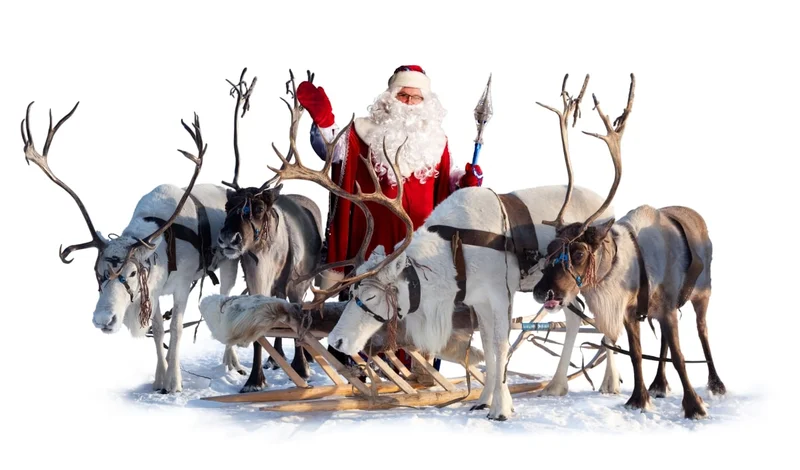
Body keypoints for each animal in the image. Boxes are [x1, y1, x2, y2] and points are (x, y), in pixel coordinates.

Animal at [21, 102, 245, 393]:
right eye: (99, 274)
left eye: (131, 273)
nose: (103, 320)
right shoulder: (155, 289)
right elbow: (158, 329)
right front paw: (159, 380)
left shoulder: (182, 284)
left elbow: (177, 329)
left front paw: (175, 382)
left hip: (230, 263)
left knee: (227, 300)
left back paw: (231, 362)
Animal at [215, 69, 325, 392]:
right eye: (228, 205)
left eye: (260, 209)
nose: (228, 238)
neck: (265, 260)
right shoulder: (256, 283)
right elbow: (260, 334)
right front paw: (254, 379)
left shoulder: (297, 284)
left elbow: (299, 323)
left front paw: (301, 369)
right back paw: (276, 360)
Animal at [263, 73, 621, 421]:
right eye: (351, 293)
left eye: (372, 296)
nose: (337, 339)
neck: (452, 256)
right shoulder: (478, 300)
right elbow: (488, 347)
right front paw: (483, 400)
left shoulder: (500, 295)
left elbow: (500, 347)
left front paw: (502, 408)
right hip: (564, 288)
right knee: (575, 318)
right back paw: (559, 385)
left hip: (596, 279)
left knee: (606, 319)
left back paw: (609, 383)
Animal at [532, 73, 726, 419]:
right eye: (550, 249)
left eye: (578, 252)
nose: (542, 292)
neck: (630, 268)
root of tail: (697, 216)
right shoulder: (631, 312)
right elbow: (636, 353)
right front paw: (639, 398)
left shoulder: (665, 306)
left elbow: (680, 357)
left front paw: (694, 406)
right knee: (663, 342)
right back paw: (659, 384)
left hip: (702, 293)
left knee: (703, 332)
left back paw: (716, 384)